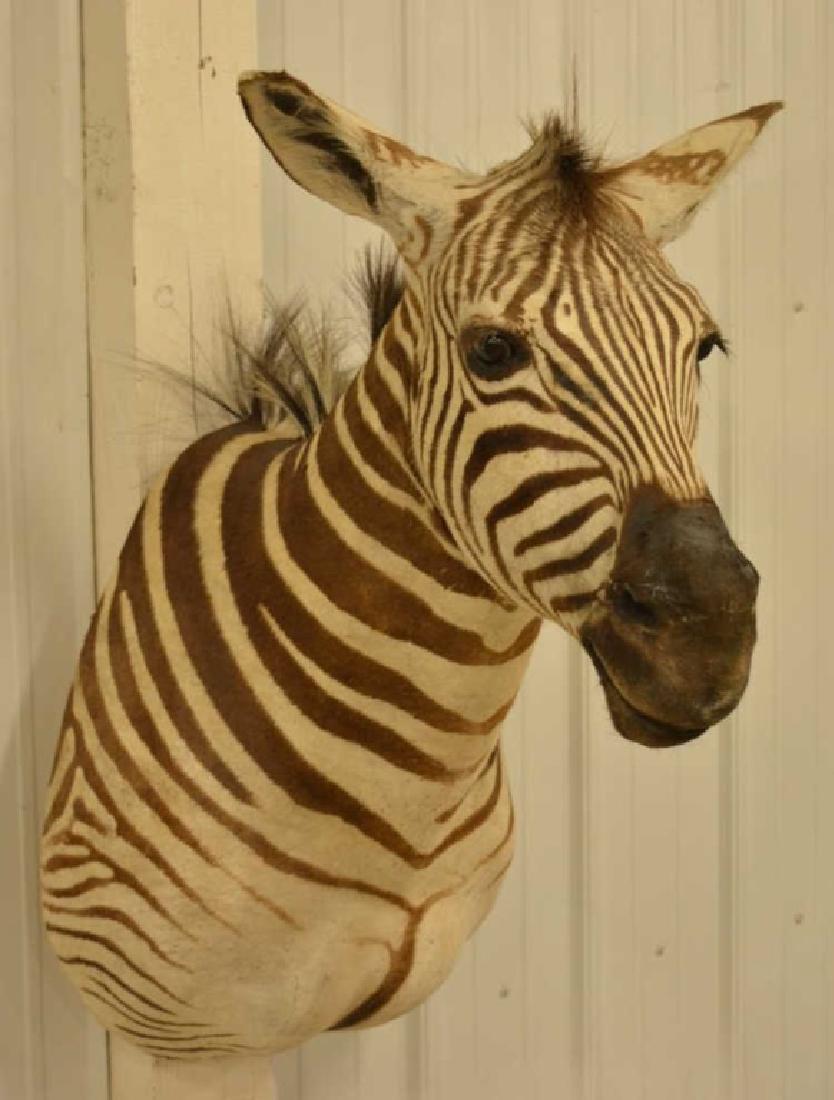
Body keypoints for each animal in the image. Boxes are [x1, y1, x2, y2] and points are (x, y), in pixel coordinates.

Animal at [41, 70, 779, 1058]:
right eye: (492, 351)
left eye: (703, 348)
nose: (710, 640)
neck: (417, 784)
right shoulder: (185, 1034)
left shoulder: (381, 1004)